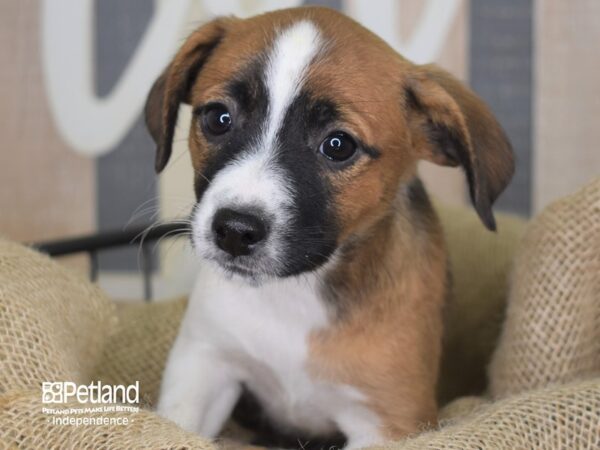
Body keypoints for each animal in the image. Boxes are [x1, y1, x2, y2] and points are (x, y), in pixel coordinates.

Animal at [146, 5, 516, 448]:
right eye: (219, 118)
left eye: (338, 145)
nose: (234, 231)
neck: (296, 295)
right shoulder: (203, 363)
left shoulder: (387, 422)